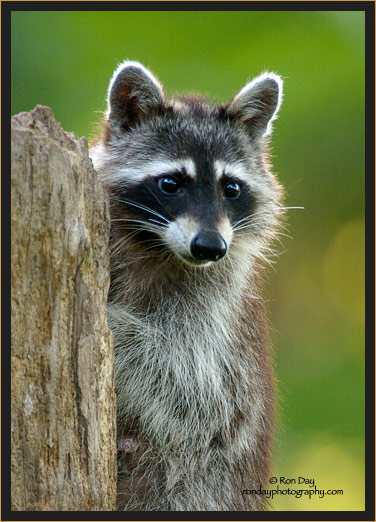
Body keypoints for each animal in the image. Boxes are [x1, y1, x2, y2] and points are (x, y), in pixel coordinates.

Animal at [90, 60, 284, 508]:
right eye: (170, 184)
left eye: (231, 188)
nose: (211, 247)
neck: (157, 245)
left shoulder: (217, 311)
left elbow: (192, 383)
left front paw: (114, 322)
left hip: (192, 490)